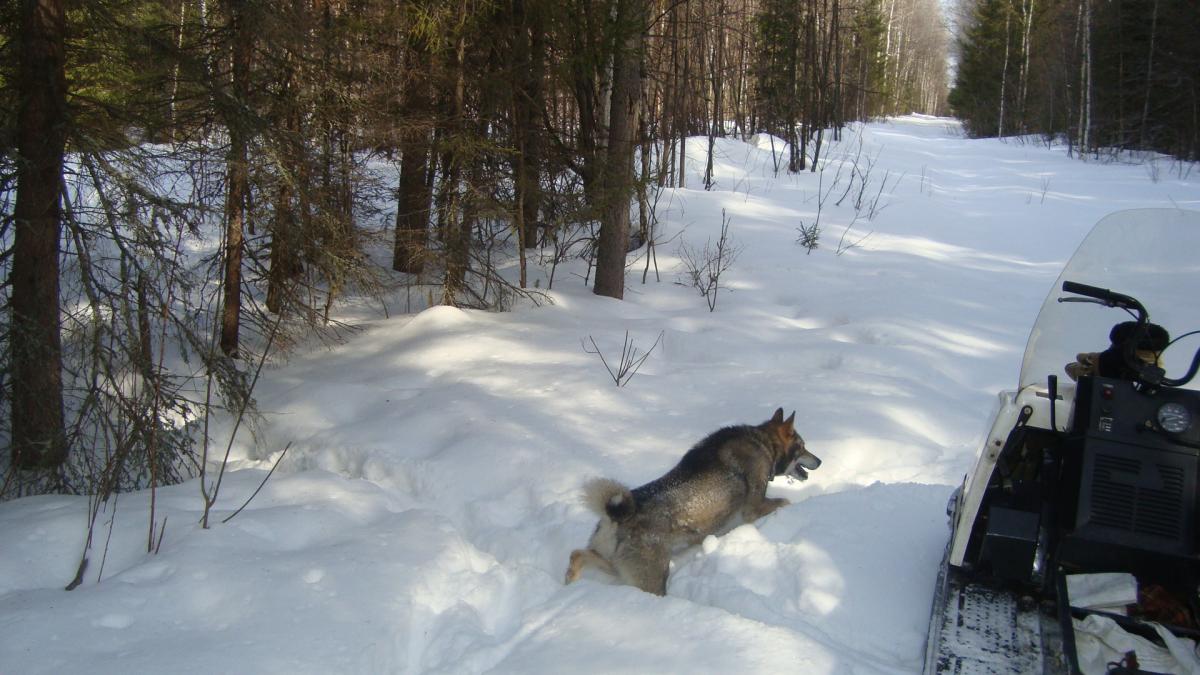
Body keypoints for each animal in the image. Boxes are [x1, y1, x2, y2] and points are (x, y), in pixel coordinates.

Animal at [564, 408, 821, 595]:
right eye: (803, 447)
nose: (819, 460)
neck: (764, 442)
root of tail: (616, 515)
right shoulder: (754, 509)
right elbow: (785, 501)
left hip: (615, 565)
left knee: (577, 554)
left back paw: (570, 582)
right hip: (650, 578)